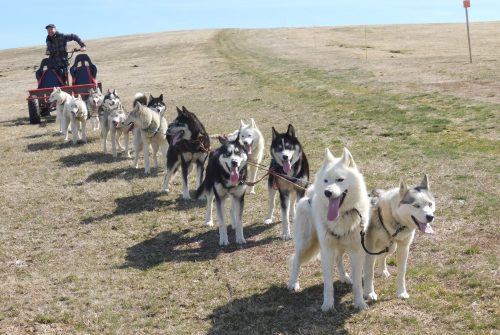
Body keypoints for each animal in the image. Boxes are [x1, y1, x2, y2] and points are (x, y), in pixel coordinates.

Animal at [288, 149, 370, 312]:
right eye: (326, 181)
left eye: (340, 180)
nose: (327, 192)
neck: (342, 215)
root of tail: (309, 194)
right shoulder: (327, 251)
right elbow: (328, 284)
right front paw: (327, 304)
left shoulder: (356, 252)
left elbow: (358, 283)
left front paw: (359, 303)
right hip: (306, 243)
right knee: (296, 260)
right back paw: (293, 283)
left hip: (340, 245)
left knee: (338, 259)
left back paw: (345, 277)